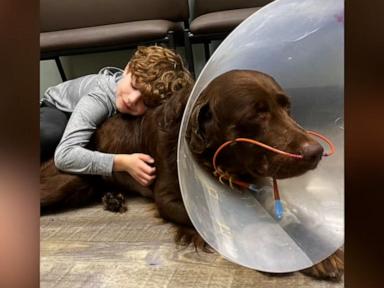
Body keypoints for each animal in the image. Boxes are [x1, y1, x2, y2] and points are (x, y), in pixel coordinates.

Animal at [40, 68, 344, 280]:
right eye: (256, 115)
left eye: (287, 107)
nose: (316, 152)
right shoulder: (169, 198)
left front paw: (322, 252)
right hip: (70, 180)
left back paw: (112, 198)